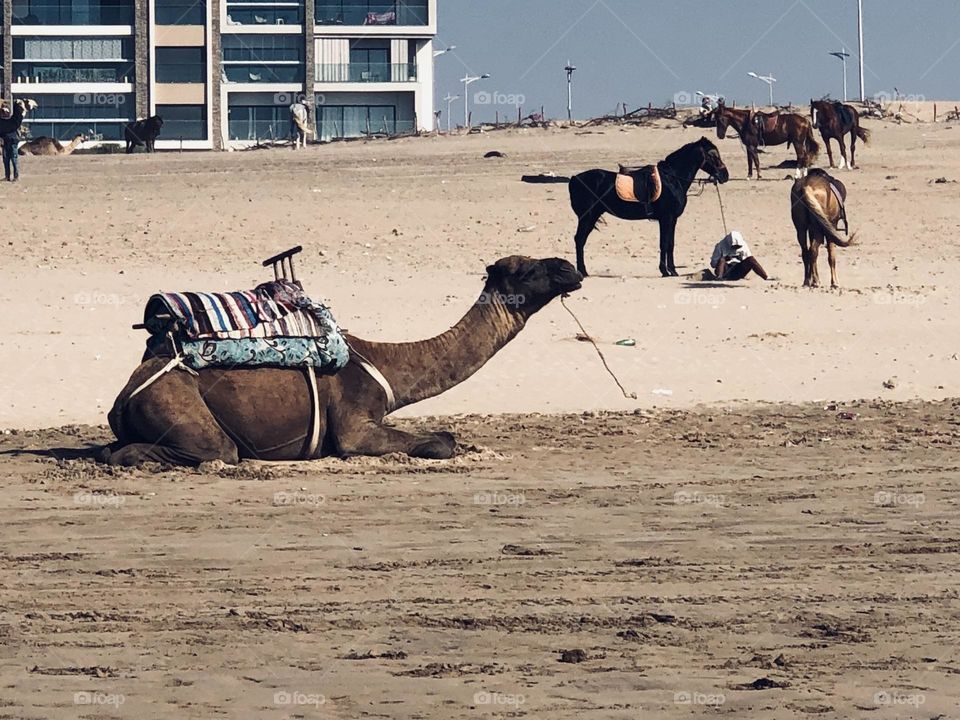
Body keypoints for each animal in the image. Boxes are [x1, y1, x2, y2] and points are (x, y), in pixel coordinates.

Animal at [101, 256, 583, 466]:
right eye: (527, 270)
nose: (570, 268)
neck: (384, 363)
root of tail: (123, 398)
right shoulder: (355, 425)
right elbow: (440, 442)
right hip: (179, 408)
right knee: (214, 451)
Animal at [568, 137, 729, 277]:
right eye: (713, 155)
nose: (725, 175)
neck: (672, 179)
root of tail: (574, 179)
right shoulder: (666, 218)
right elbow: (664, 244)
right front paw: (665, 271)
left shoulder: (672, 220)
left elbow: (670, 244)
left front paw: (673, 271)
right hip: (587, 217)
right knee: (579, 240)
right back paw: (582, 271)